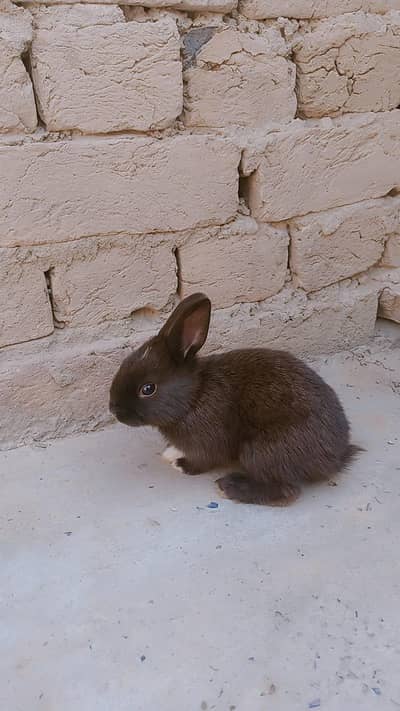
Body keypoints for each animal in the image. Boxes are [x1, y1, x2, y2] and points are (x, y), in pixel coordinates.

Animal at [109, 293, 361, 506]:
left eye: (148, 389)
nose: (114, 409)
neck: (194, 396)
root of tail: (334, 458)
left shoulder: (207, 443)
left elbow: (203, 461)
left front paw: (181, 464)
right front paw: (171, 452)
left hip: (258, 451)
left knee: (287, 492)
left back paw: (230, 487)